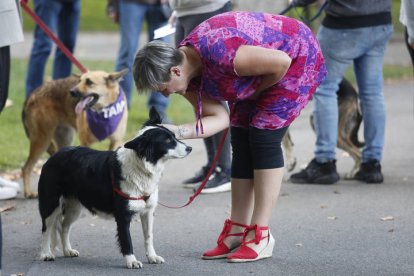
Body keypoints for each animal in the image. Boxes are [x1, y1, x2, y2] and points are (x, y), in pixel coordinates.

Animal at [21, 69, 129, 198]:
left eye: (89, 82)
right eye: (79, 81)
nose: (71, 92)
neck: (104, 111)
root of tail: (32, 94)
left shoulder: (115, 141)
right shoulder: (85, 143)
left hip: (63, 140)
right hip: (42, 140)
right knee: (26, 168)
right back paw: (28, 192)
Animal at [37, 109, 192, 268]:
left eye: (174, 137)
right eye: (167, 141)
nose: (190, 148)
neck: (141, 167)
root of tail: (54, 155)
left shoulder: (148, 211)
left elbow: (149, 236)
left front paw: (152, 257)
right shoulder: (123, 216)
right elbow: (127, 240)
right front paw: (131, 261)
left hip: (74, 208)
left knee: (64, 227)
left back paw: (67, 250)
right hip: (51, 204)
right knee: (46, 229)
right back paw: (45, 254)